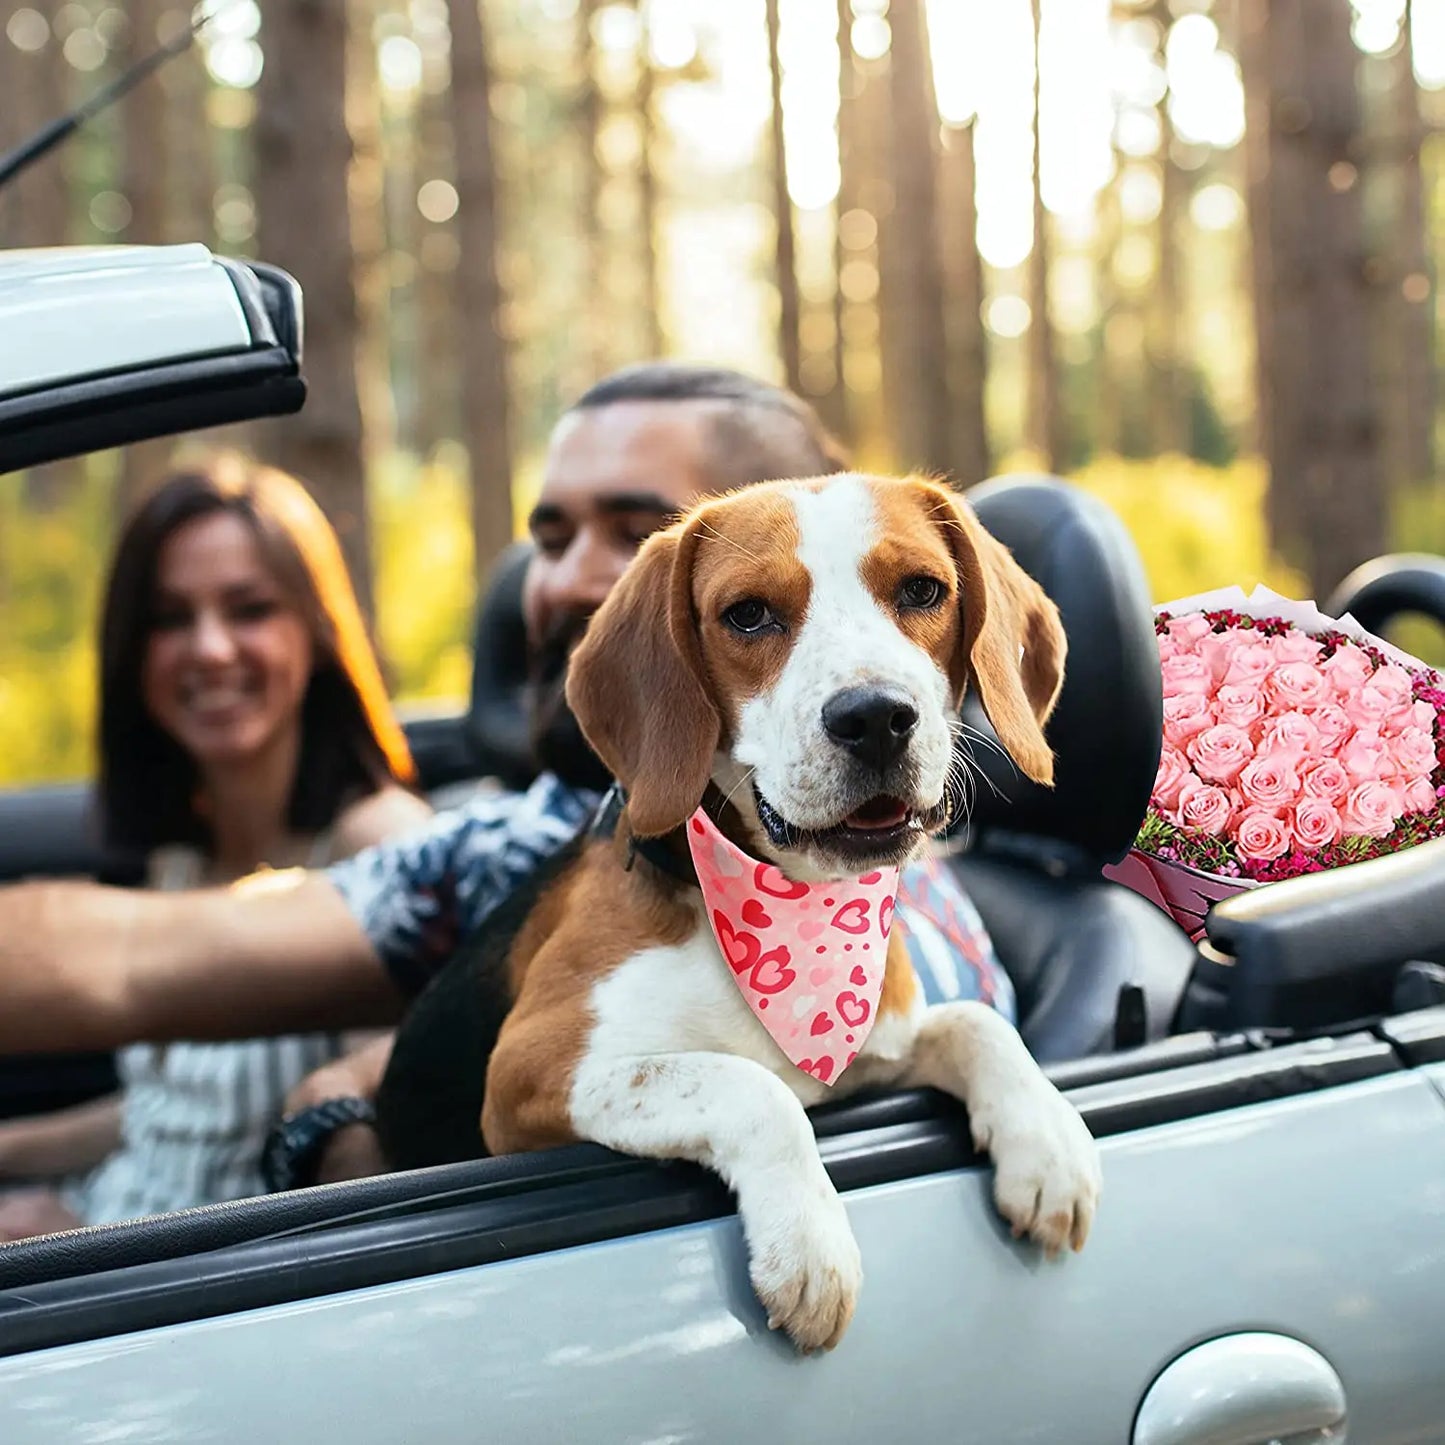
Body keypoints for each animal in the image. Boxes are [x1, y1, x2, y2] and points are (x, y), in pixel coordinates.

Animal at [479, 473, 1098, 1352]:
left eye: (922, 590)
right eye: (747, 614)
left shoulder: (870, 1047)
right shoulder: (532, 1071)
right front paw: (808, 1248)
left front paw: (1046, 1144)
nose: (874, 716)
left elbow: (976, 1023)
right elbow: (753, 1086)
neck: (788, 909)